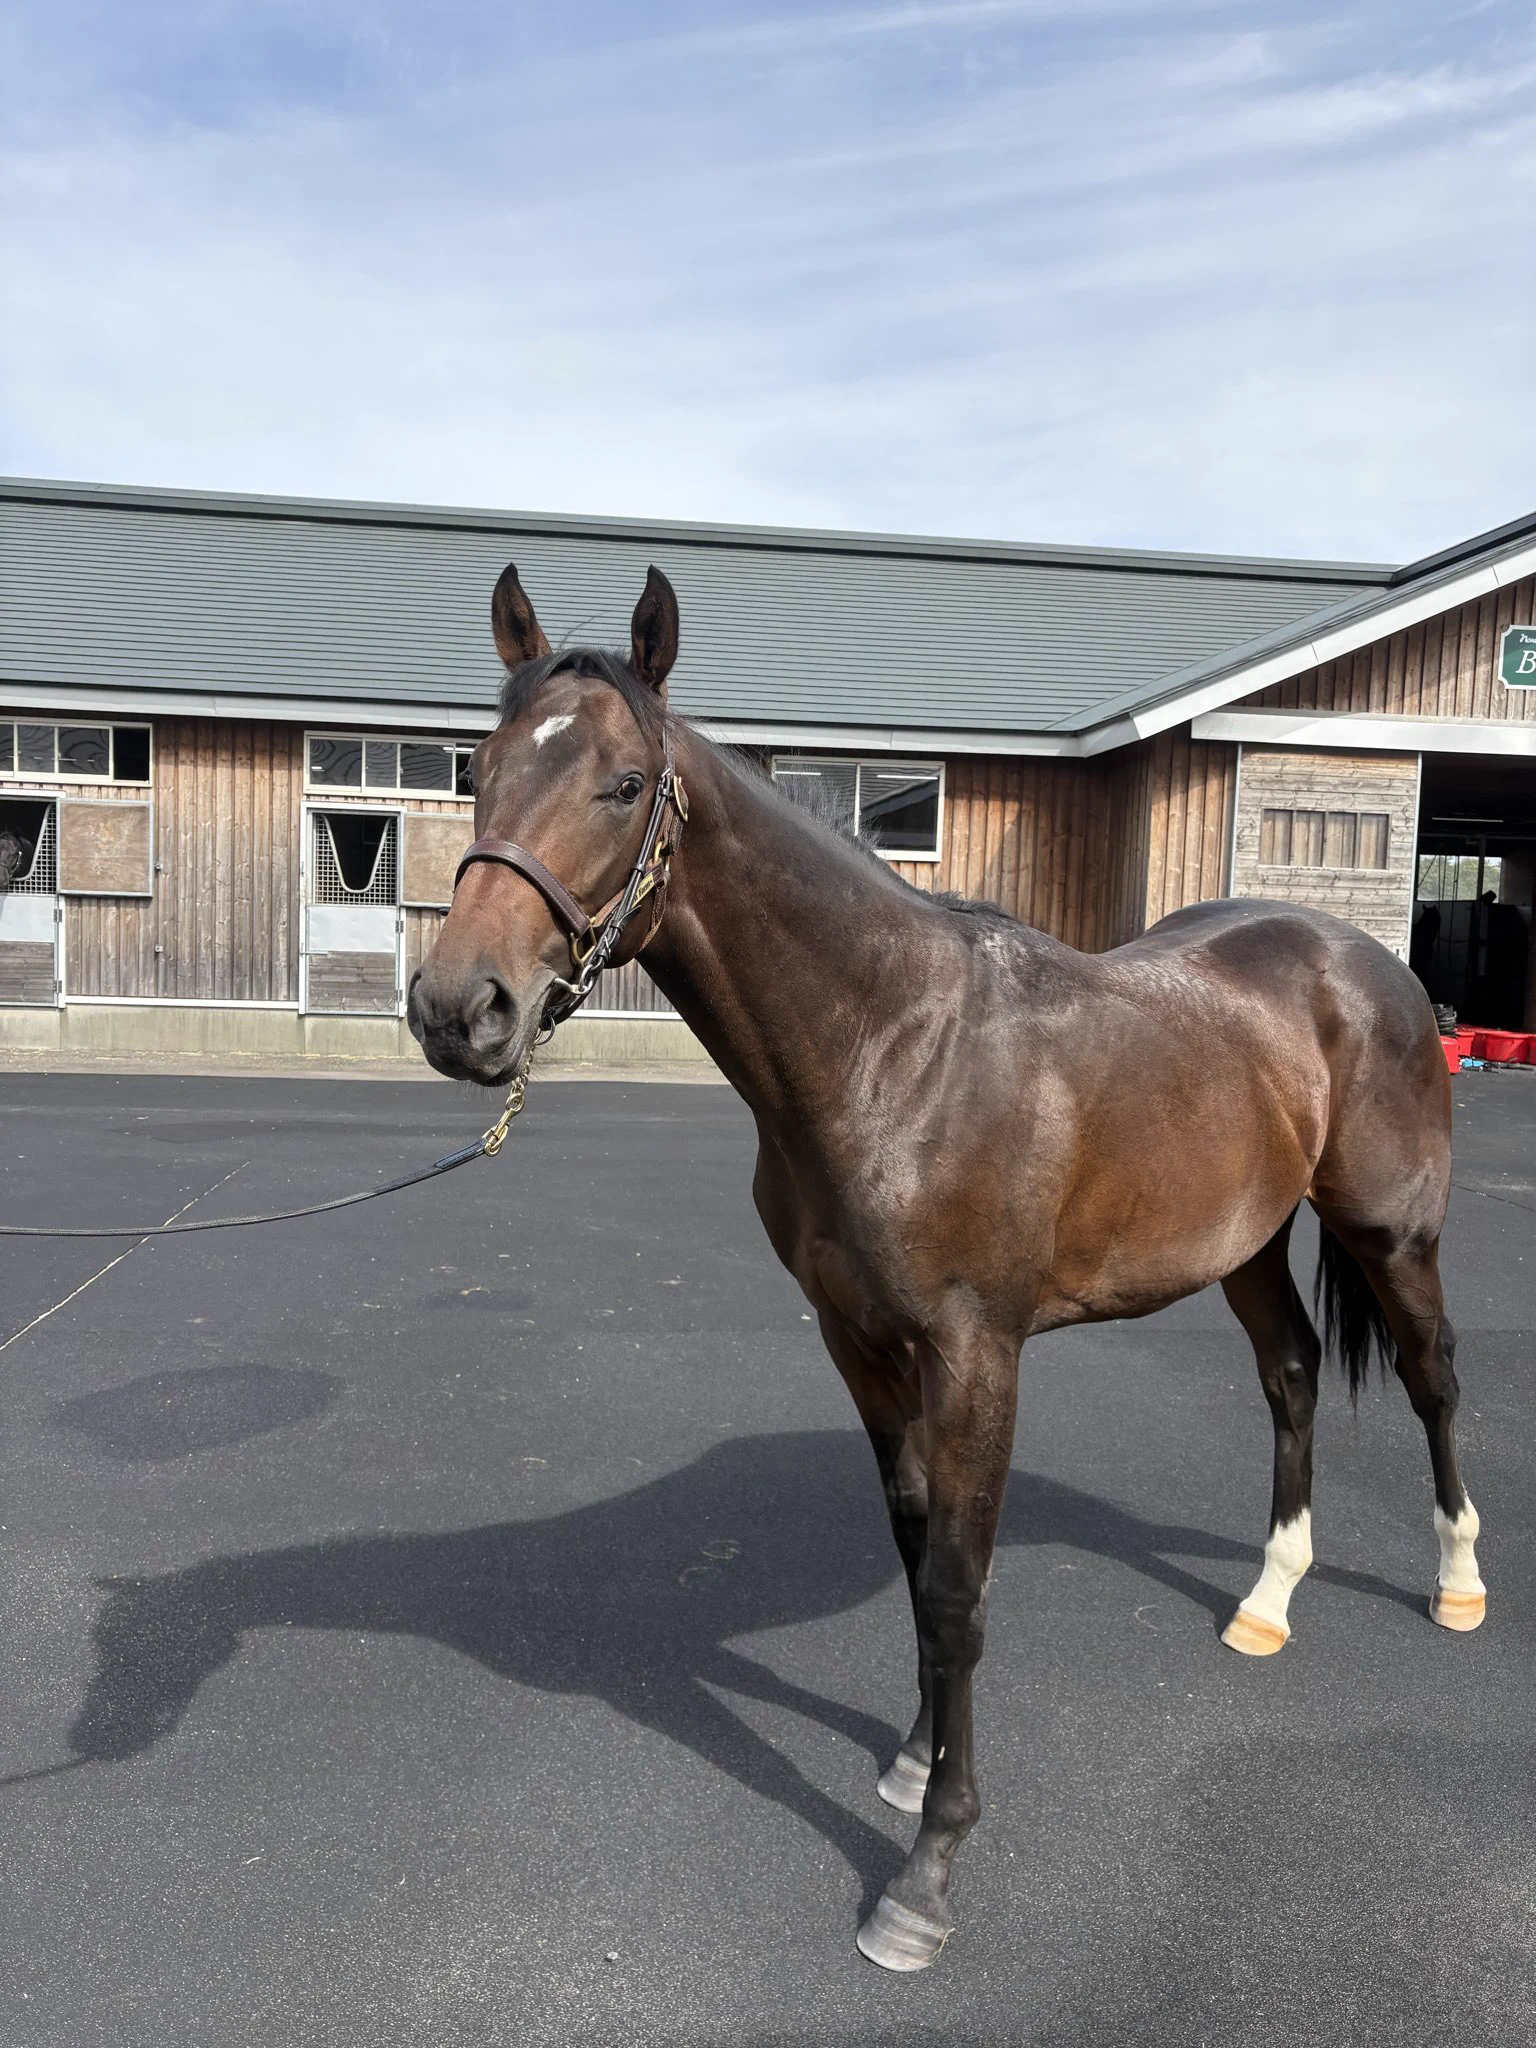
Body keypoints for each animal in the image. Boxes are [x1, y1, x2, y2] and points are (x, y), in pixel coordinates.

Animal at [408, 562, 1485, 1973]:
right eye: (476, 769)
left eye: (623, 783)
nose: (457, 1009)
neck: (892, 1044)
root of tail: (1364, 961)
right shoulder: (862, 1343)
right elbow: (918, 1557)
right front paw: (915, 1761)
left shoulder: (978, 1354)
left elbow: (962, 1590)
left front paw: (926, 1870)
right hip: (1245, 1241)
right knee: (1295, 1374)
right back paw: (1268, 1598)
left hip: (1391, 1232)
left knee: (1431, 1377)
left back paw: (1459, 1583)